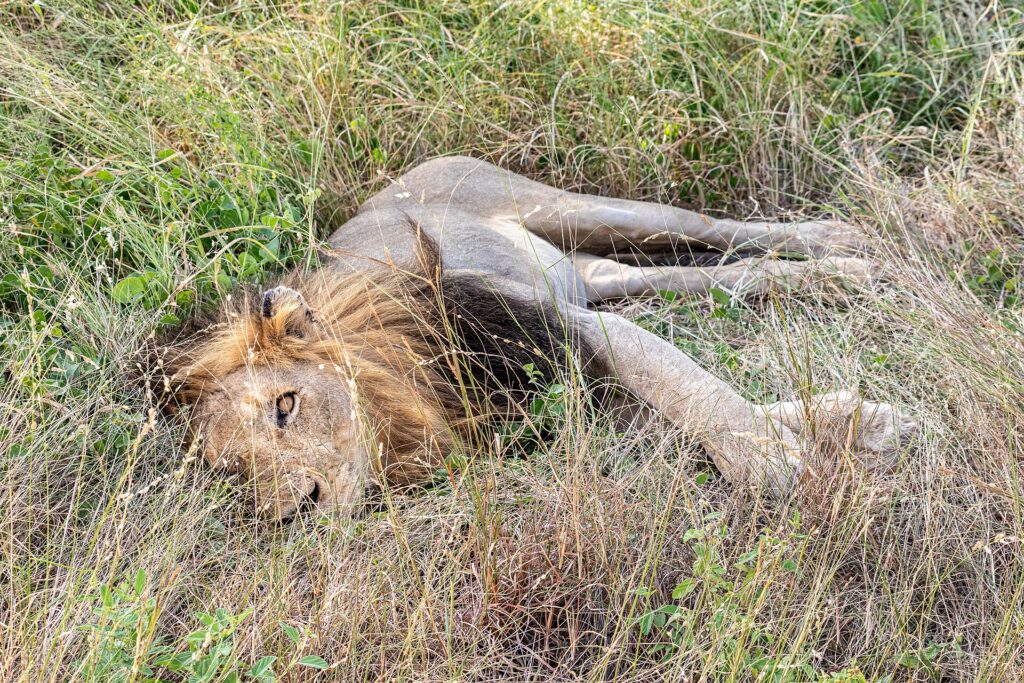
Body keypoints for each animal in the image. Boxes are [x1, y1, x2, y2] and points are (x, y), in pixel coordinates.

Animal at [164, 156, 917, 521]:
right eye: (234, 473)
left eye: (286, 406)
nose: (297, 510)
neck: (408, 387)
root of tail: (406, 174)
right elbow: (680, 408)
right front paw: (858, 419)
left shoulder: (564, 329)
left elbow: (688, 388)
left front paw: (776, 464)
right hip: (593, 272)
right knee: (702, 277)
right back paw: (840, 272)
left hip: (576, 210)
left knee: (714, 228)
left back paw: (846, 243)